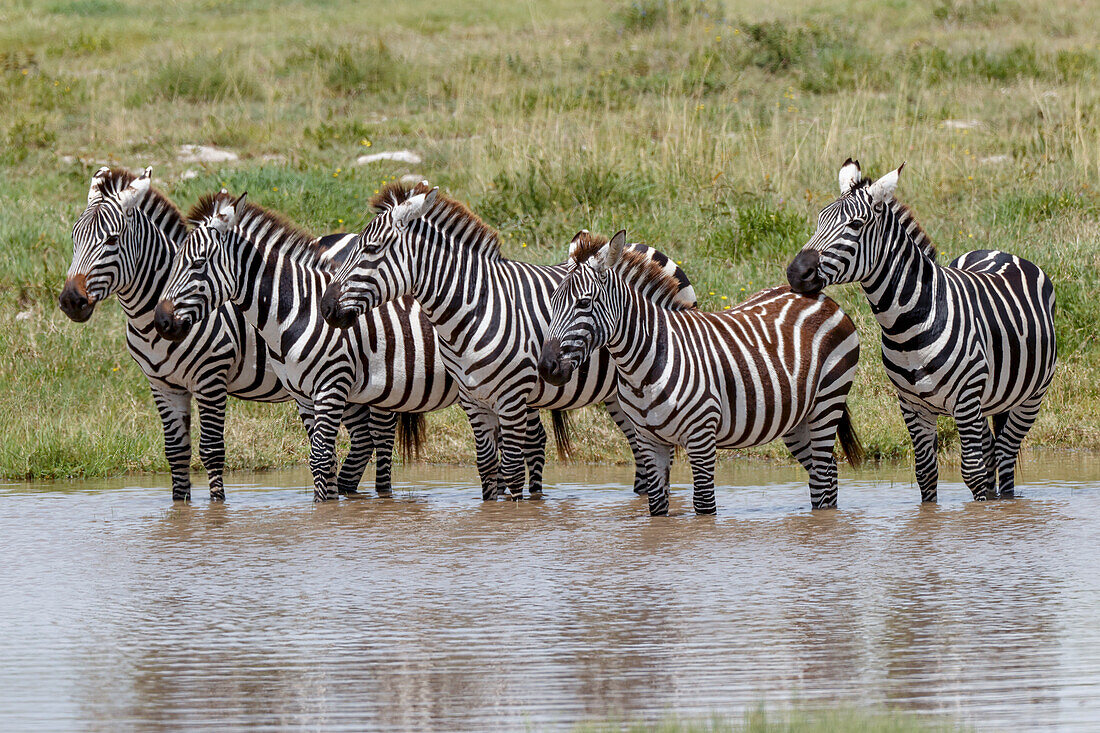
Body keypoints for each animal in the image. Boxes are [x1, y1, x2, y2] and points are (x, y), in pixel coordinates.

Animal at [60, 166, 393, 499]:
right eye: (74, 236)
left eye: (112, 240)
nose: (70, 301)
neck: (149, 320)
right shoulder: (162, 385)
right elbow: (176, 453)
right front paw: (180, 507)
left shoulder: (211, 377)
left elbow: (211, 451)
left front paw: (216, 507)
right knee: (363, 441)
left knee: (381, 439)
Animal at [152, 189, 457, 501]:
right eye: (174, 262)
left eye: (198, 263)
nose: (161, 321)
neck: (295, 311)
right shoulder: (302, 394)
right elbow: (323, 459)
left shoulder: (331, 385)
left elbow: (322, 457)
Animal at [319, 182, 695, 501]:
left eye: (370, 249)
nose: (325, 307)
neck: (471, 311)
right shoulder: (473, 400)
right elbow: (487, 468)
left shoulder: (512, 398)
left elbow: (512, 469)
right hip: (619, 394)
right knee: (640, 452)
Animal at [536, 228, 862, 512]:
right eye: (552, 303)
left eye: (584, 303)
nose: (547, 367)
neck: (643, 365)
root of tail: (821, 297)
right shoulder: (649, 440)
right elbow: (657, 507)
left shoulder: (702, 435)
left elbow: (704, 505)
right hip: (796, 418)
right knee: (827, 474)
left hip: (827, 401)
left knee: (822, 476)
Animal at [783, 159, 1056, 499]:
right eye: (819, 220)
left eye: (856, 225)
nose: (796, 273)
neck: (906, 327)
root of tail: (998, 252)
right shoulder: (912, 405)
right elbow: (925, 472)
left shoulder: (966, 399)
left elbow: (973, 472)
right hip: (985, 400)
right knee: (994, 452)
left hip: (1032, 395)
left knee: (1005, 455)